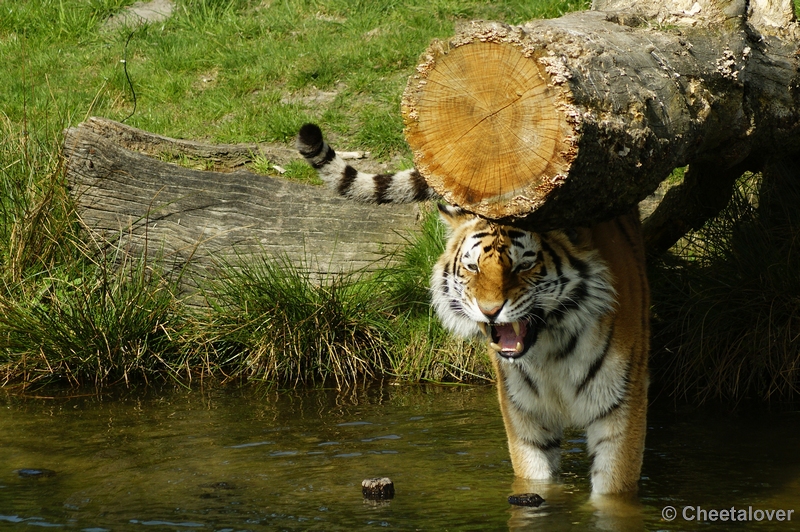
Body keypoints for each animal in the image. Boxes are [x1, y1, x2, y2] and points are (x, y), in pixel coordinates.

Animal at [296, 123, 648, 494]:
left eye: (524, 266)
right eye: (473, 267)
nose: (490, 311)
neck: (550, 353)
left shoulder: (620, 410)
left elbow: (613, 489)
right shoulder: (523, 414)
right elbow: (533, 477)